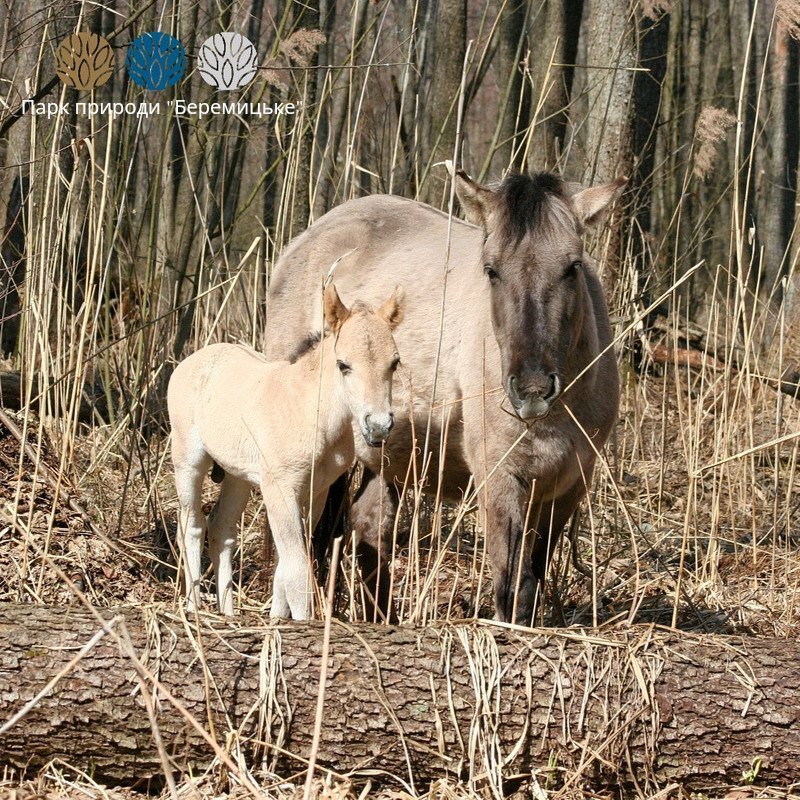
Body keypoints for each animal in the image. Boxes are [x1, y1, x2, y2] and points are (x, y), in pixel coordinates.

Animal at [266, 170, 620, 624]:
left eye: (572, 267)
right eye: (491, 270)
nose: (532, 390)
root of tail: (308, 238)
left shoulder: (571, 483)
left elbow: (533, 577)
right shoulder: (499, 477)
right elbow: (511, 586)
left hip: (386, 455)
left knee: (367, 528)